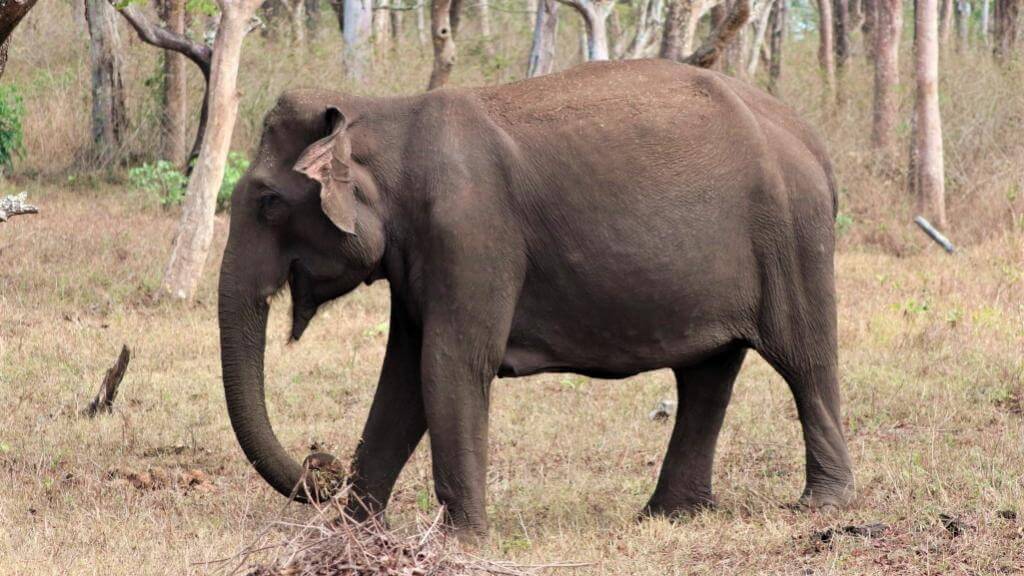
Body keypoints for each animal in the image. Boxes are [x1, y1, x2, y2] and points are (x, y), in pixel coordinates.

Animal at [218, 57, 856, 537]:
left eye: (268, 202)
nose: (320, 464)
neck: (384, 112)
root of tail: (817, 146)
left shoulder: (471, 233)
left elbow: (449, 364)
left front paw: (461, 541)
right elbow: (402, 377)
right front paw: (355, 532)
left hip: (792, 236)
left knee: (804, 361)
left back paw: (821, 506)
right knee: (706, 373)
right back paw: (668, 515)